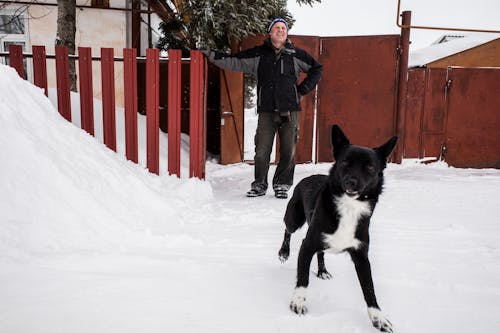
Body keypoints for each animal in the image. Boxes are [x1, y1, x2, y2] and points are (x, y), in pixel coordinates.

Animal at [280, 124, 396, 330]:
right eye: (344, 163)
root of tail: (309, 176)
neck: (349, 207)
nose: (351, 182)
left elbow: (369, 289)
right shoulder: (307, 245)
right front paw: (298, 302)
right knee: (287, 230)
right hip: (294, 218)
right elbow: (303, 278)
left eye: (370, 166)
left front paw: (378, 318)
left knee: (321, 252)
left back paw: (322, 271)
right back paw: (283, 253)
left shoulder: (361, 256)